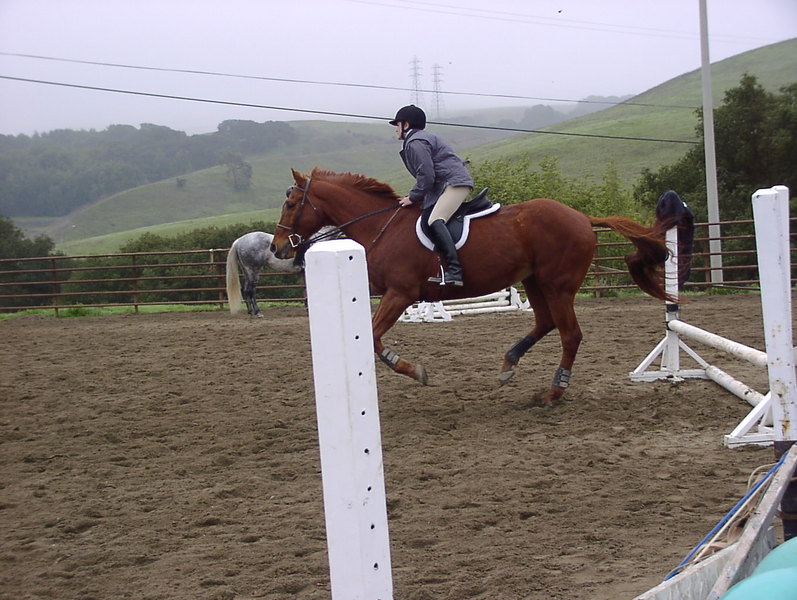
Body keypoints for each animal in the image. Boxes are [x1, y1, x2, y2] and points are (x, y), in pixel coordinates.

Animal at [271, 168, 675, 406]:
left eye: (290, 203)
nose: (276, 248)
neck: (380, 226)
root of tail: (582, 217)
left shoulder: (400, 294)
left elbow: (372, 336)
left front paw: (413, 370)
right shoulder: (395, 295)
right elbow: (371, 336)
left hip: (557, 285)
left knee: (569, 334)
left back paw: (554, 391)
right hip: (533, 280)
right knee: (545, 323)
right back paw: (508, 365)